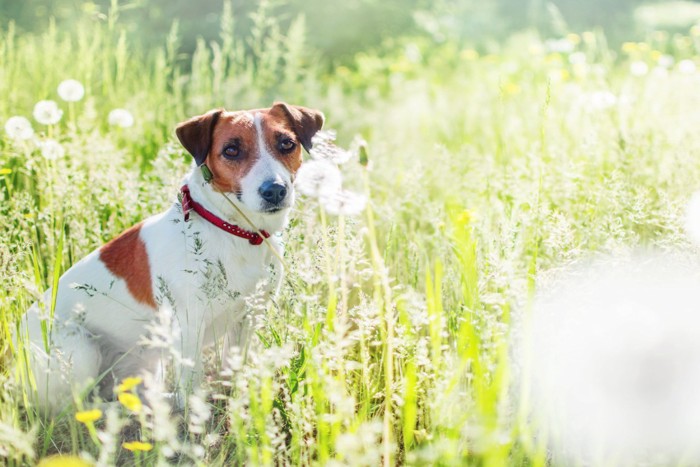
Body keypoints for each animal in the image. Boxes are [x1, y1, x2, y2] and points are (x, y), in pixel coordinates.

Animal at [14, 102, 326, 414]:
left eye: (286, 144)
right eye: (231, 150)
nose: (275, 190)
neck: (233, 231)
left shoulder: (249, 315)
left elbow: (234, 368)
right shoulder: (188, 324)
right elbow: (191, 383)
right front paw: (196, 413)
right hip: (80, 348)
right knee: (74, 408)